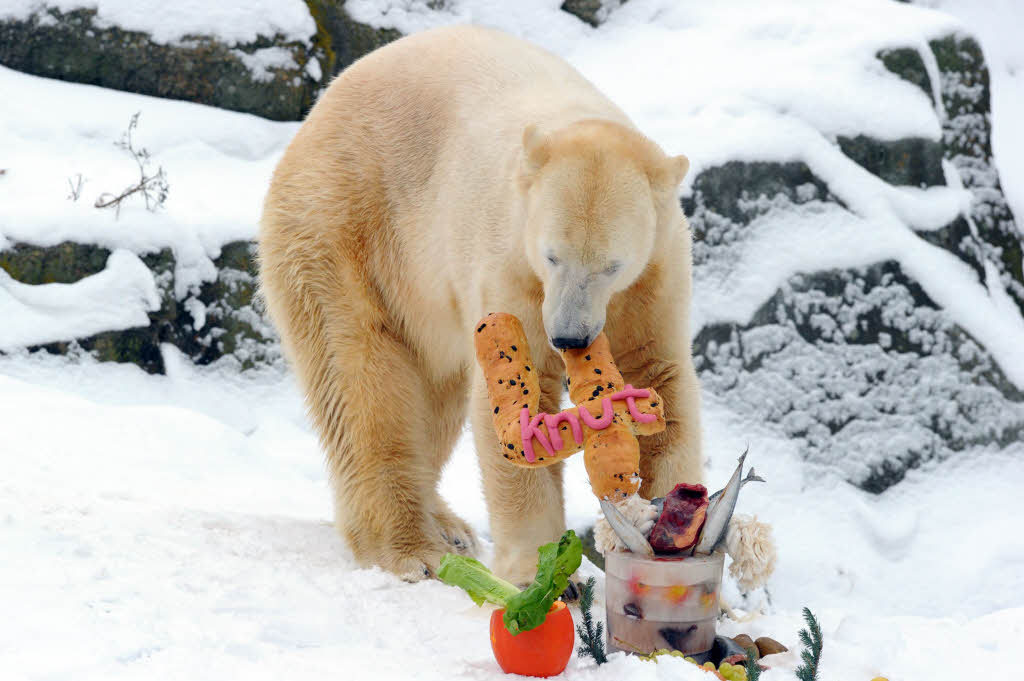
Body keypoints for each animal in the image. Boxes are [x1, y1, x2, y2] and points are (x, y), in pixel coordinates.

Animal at [256, 26, 704, 585]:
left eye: (612, 265)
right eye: (552, 254)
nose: (569, 336)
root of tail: (311, 122)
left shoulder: (656, 275)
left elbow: (658, 381)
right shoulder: (508, 260)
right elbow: (515, 394)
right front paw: (540, 573)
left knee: (435, 393)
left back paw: (448, 526)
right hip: (345, 230)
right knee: (363, 383)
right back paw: (411, 547)